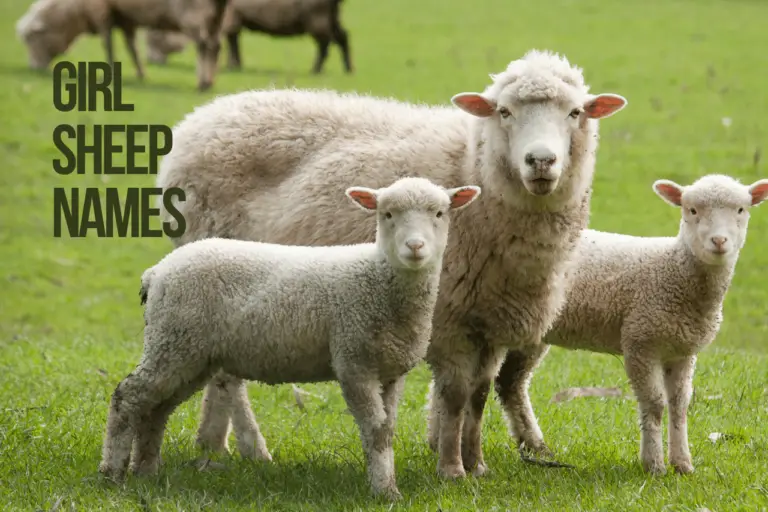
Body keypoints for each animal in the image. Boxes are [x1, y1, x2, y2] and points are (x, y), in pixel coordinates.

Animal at [98, 177, 482, 500]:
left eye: (439, 213)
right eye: (387, 214)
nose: (415, 247)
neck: (378, 277)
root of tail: (157, 272)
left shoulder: (389, 371)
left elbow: (386, 429)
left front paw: (385, 483)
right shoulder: (354, 361)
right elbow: (374, 430)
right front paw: (385, 491)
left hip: (188, 352)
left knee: (156, 407)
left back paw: (145, 470)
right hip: (173, 339)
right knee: (128, 396)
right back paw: (112, 473)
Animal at [144, 0, 352, 74]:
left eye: (155, 37)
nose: (152, 61)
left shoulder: (230, 16)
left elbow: (231, 40)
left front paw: (232, 64)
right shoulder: (235, 17)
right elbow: (234, 42)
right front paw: (235, 64)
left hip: (317, 15)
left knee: (325, 43)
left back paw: (316, 69)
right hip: (330, 15)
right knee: (342, 37)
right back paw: (348, 69)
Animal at [155, 49, 629, 478]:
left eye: (575, 112)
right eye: (504, 111)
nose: (541, 161)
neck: (472, 168)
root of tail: (202, 118)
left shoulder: (491, 318)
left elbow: (477, 395)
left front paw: (476, 463)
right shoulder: (449, 318)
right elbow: (455, 394)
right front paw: (452, 468)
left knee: (219, 369)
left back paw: (212, 445)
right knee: (229, 379)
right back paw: (253, 448)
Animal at [495, 174, 768, 475]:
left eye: (741, 210)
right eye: (692, 210)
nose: (719, 241)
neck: (673, 270)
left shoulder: (682, 351)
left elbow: (680, 404)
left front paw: (682, 463)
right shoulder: (640, 341)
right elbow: (655, 403)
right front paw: (654, 465)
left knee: (510, 383)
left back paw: (536, 446)